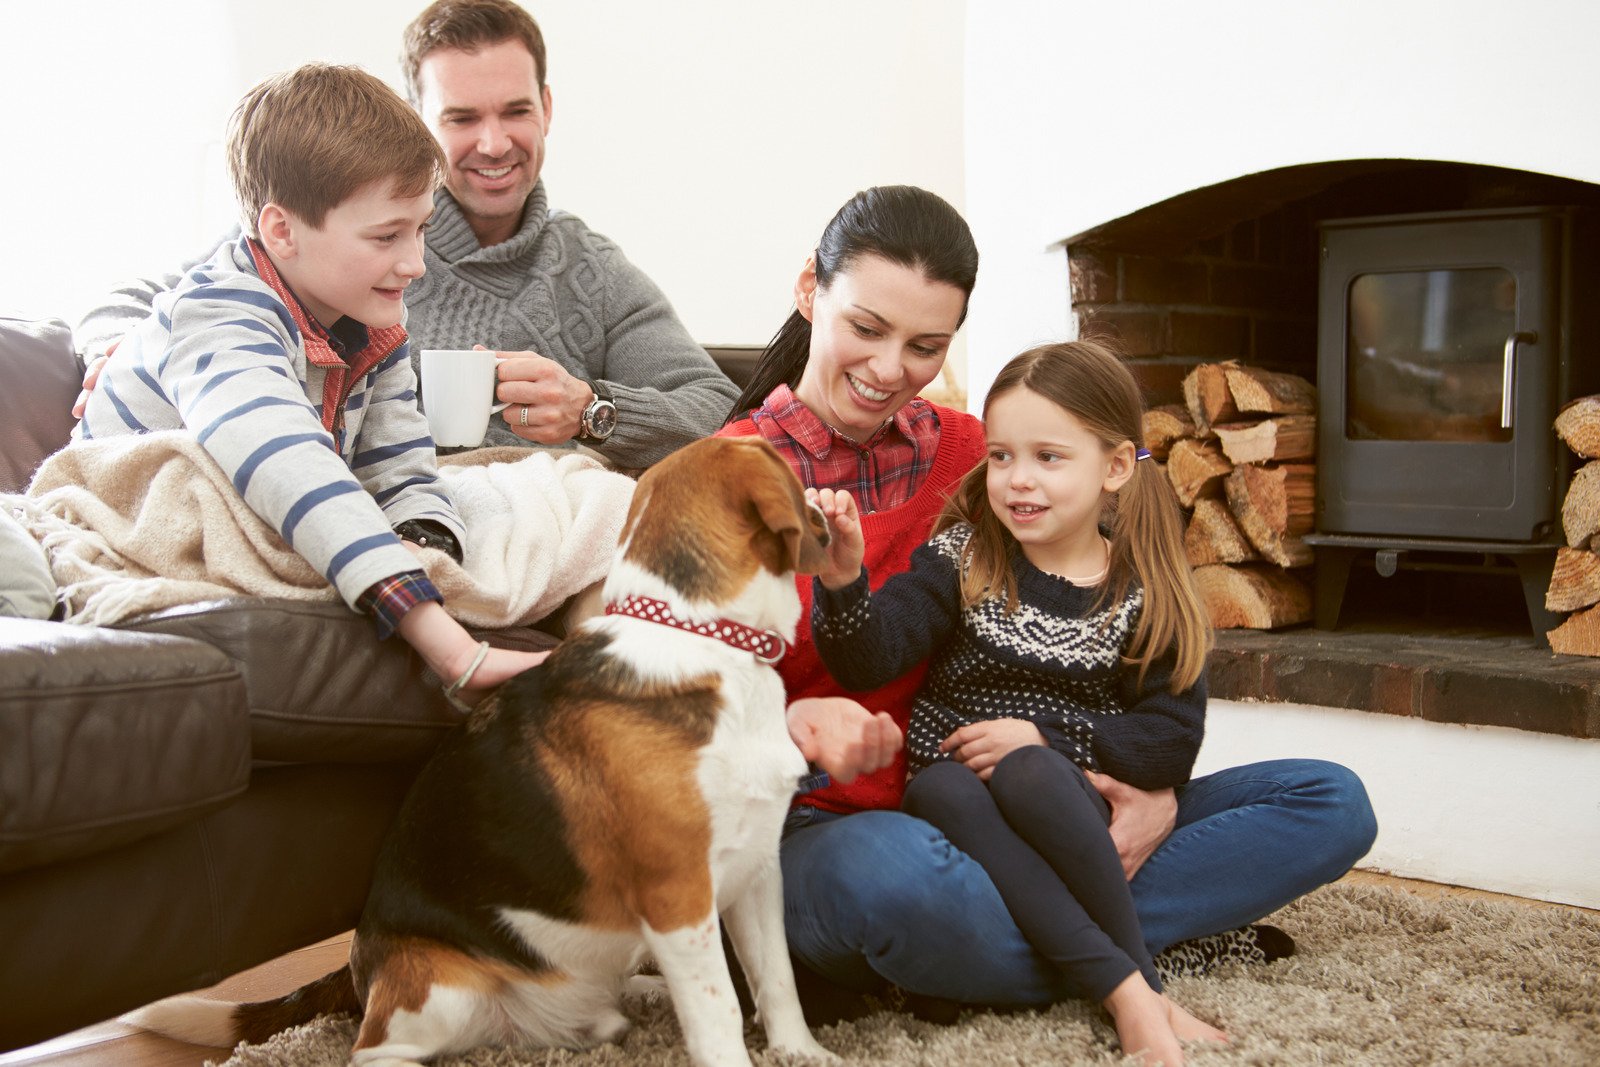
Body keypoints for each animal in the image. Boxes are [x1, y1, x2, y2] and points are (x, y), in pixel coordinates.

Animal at [124, 435, 838, 1067]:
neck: (702, 637)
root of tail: (361, 966)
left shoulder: (757, 871)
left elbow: (777, 980)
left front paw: (801, 1053)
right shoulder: (679, 896)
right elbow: (719, 1011)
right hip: (441, 994)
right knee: (372, 1051)